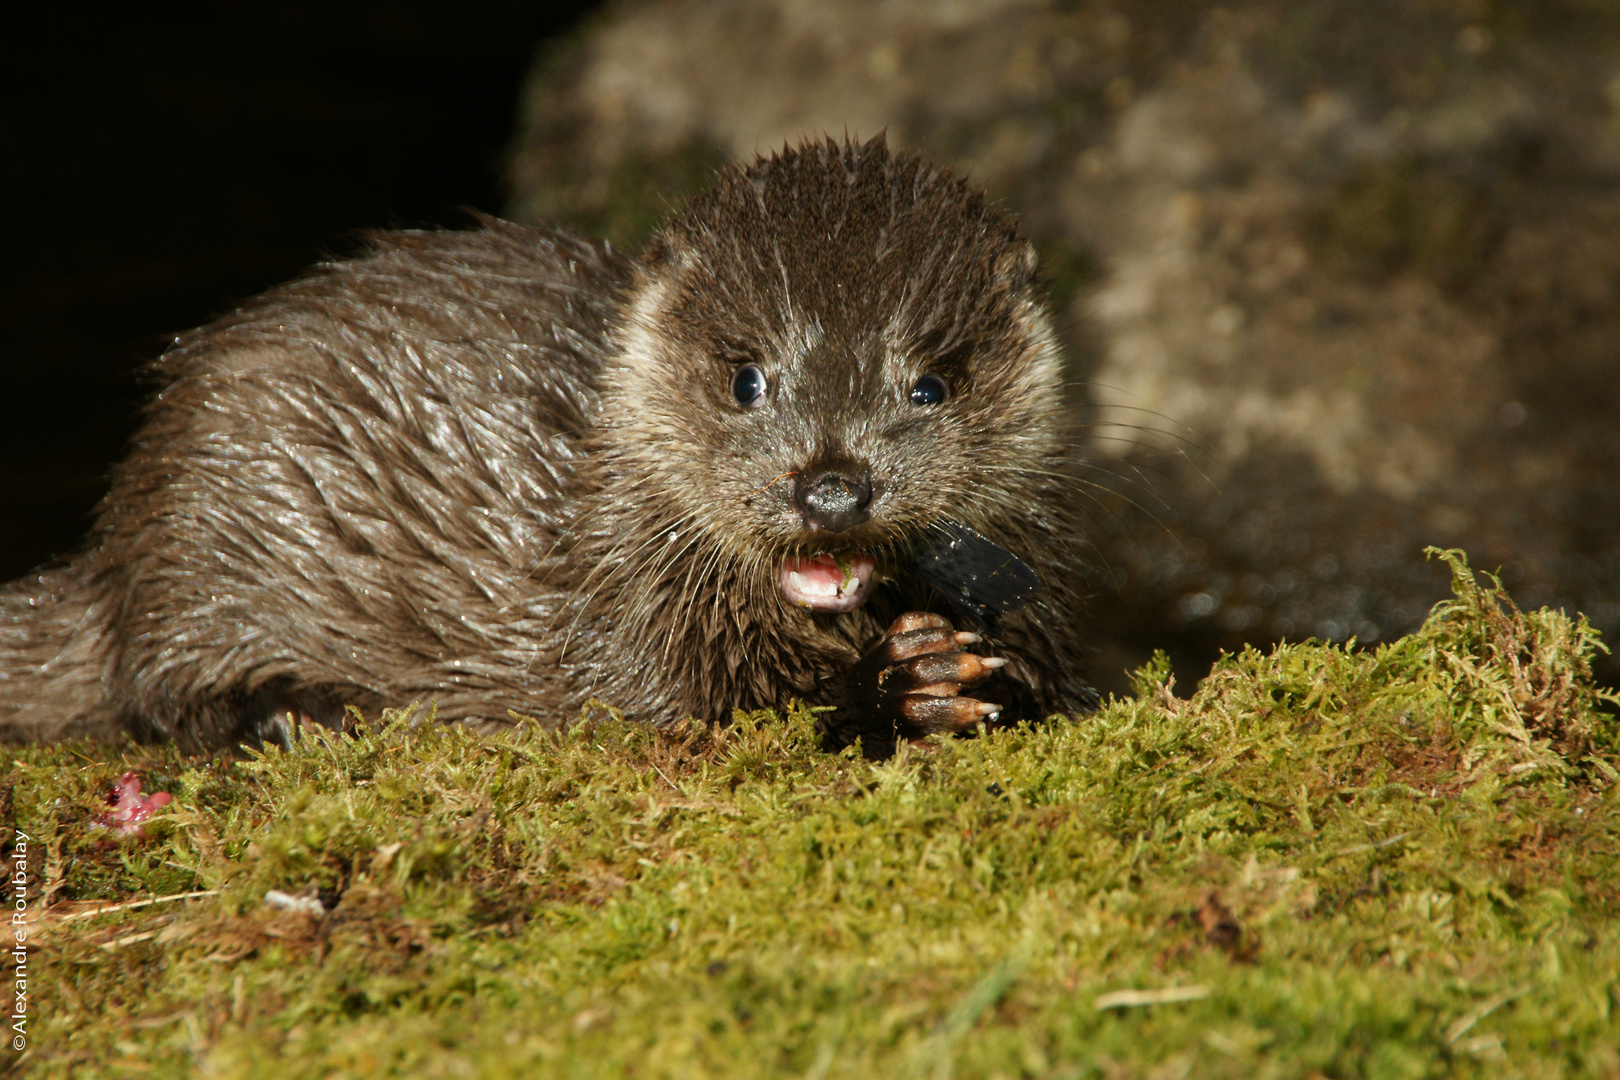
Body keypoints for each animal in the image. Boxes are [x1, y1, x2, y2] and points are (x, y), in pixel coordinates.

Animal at [0, 135, 1101, 757]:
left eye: (932, 383)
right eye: (745, 377)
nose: (832, 488)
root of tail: (116, 547)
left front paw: (978, 677)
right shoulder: (634, 637)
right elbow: (695, 720)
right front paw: (903, 686)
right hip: (206, 523)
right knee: (153, 694)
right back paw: (295, 715)